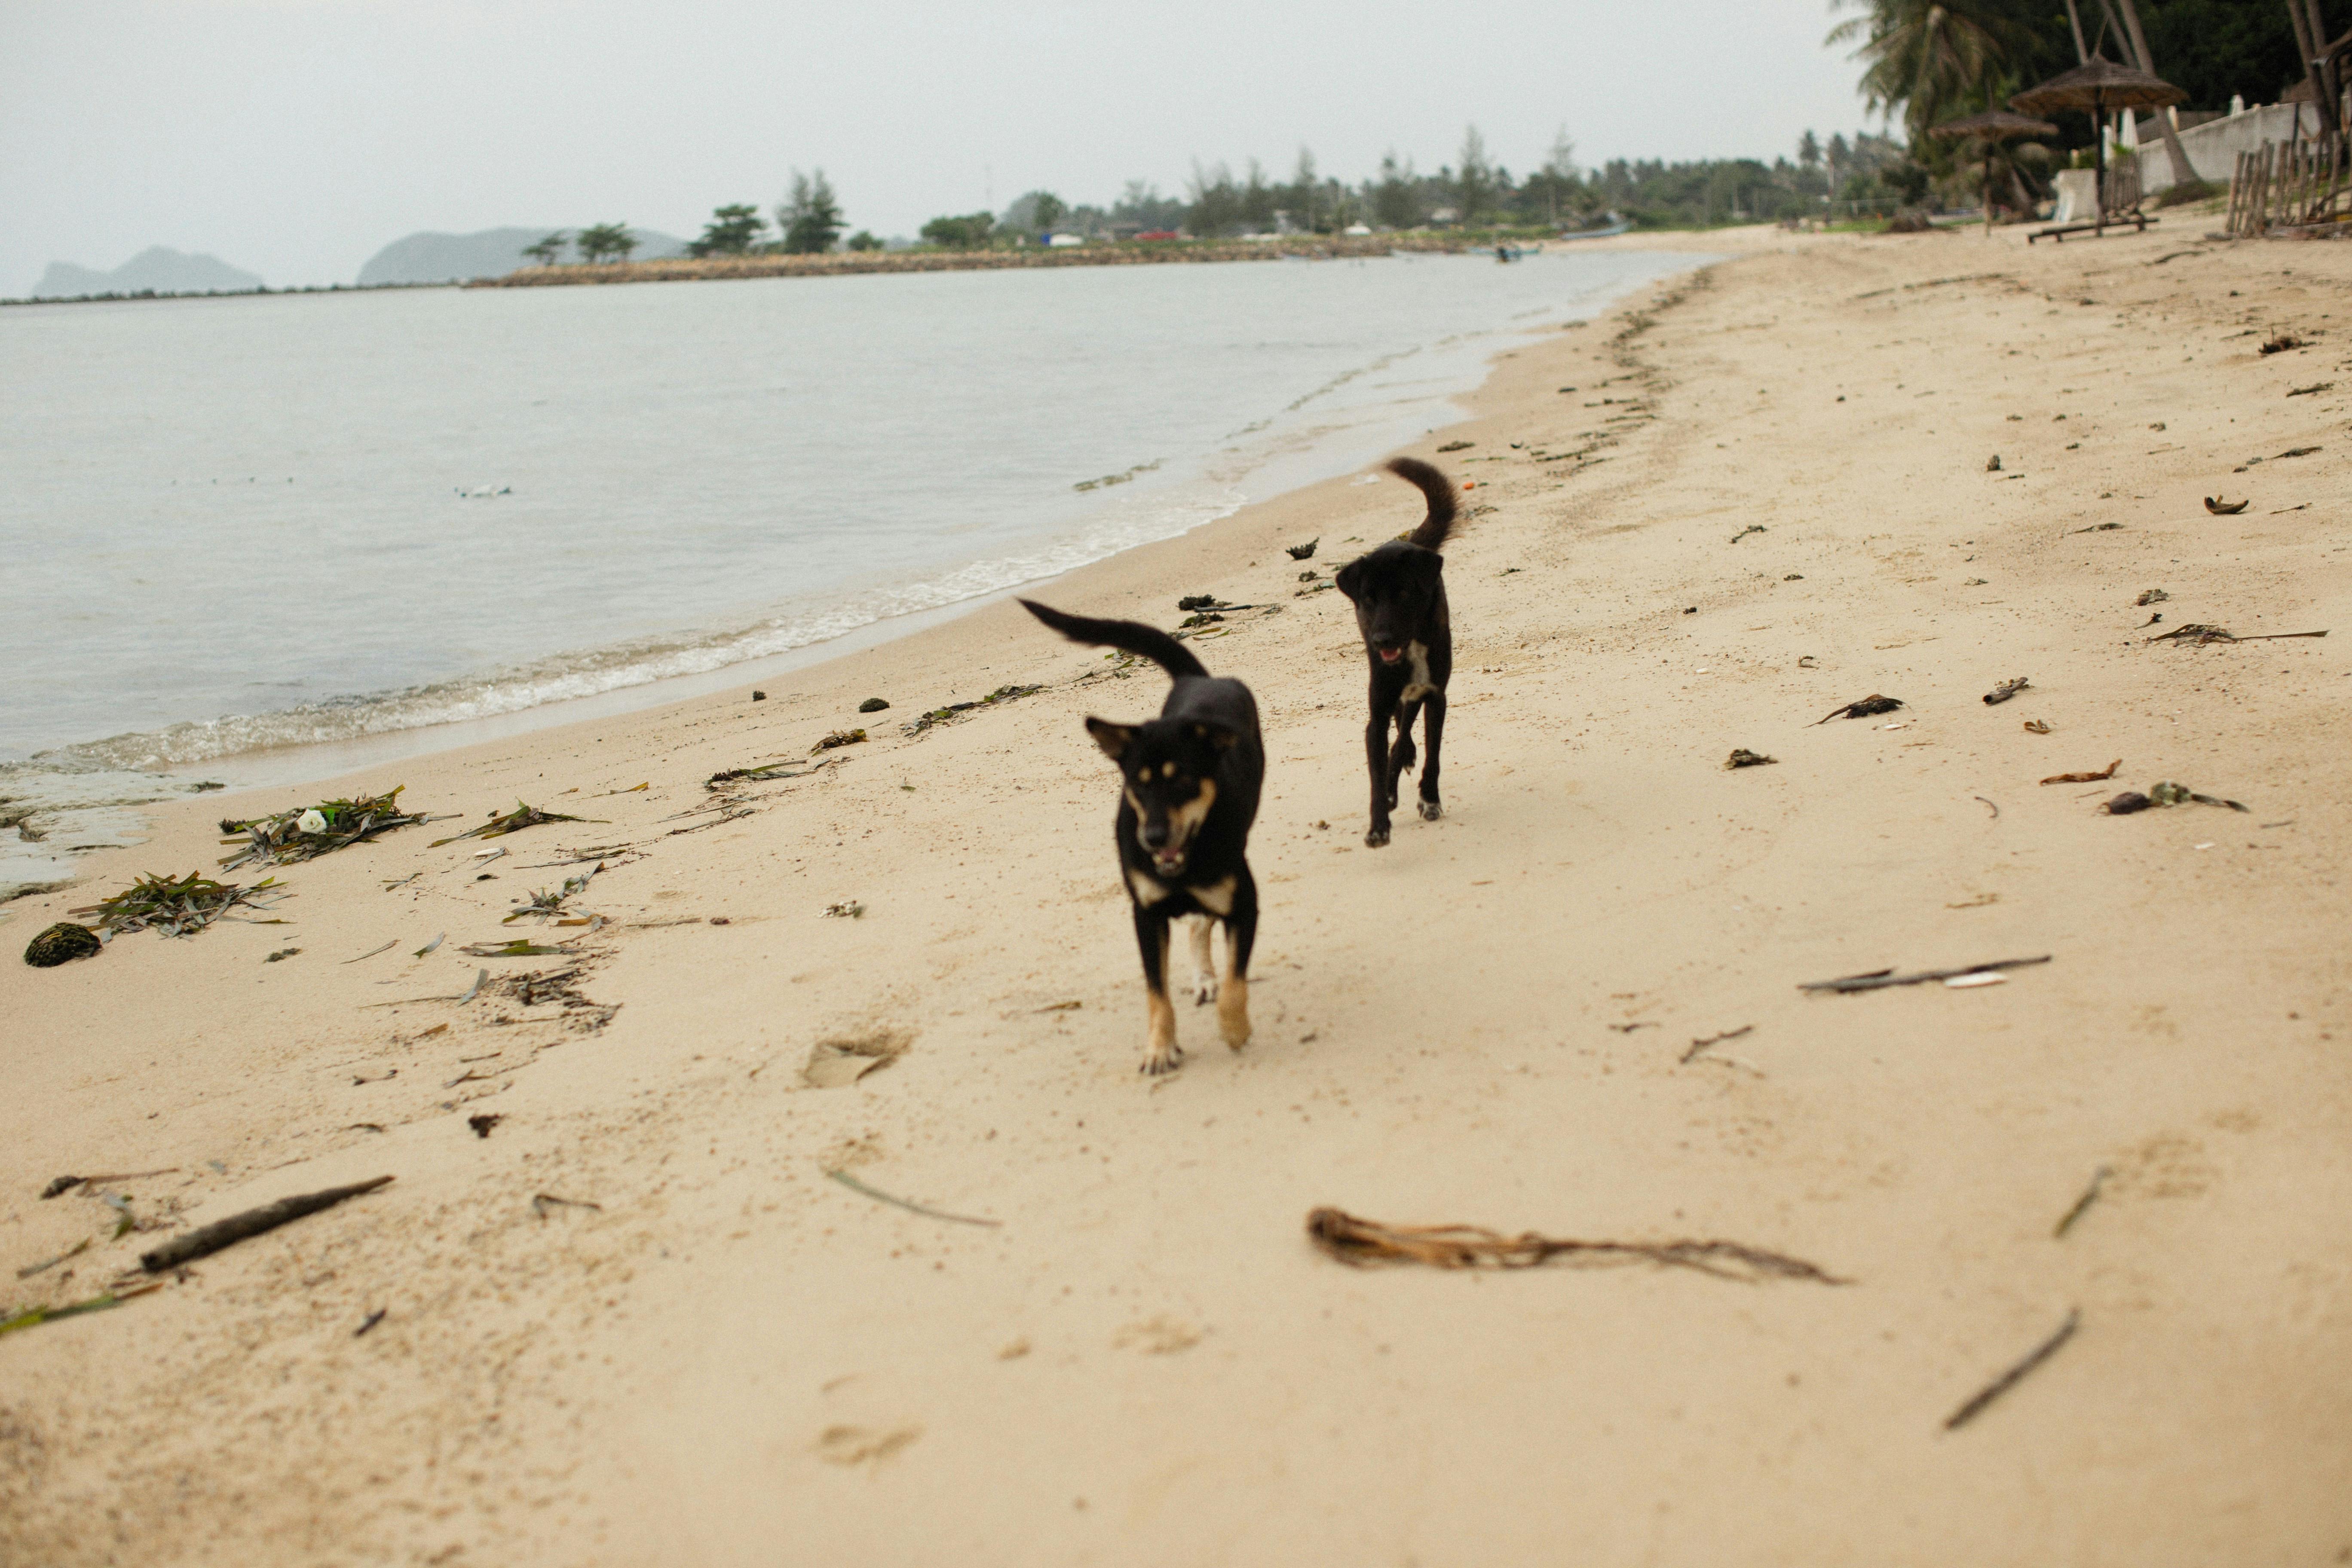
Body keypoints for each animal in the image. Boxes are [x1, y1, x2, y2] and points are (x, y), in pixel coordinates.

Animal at [1016, 602, 1260, 1081]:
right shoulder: (1146, 916)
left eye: (1183, 781)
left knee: (1204, 922)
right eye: (1138, 785)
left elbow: (1236, 980)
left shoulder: (1245, 904)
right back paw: (1203, 978)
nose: (1153, 838)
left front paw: (1235, 1028)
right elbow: (1156, 994)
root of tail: (1199, 680)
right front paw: (1160, 1049)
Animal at [1336, 456, 1458, 846]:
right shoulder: (1376, 715)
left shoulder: (1435, 695)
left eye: (1404, 594)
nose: (1382, 640)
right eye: (1368, 600)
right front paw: (1379, 824)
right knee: (1400, 726)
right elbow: (1376, 776)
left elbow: (1434, 755)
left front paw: (1430, 799)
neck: (1411, 647)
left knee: (1406, 726)